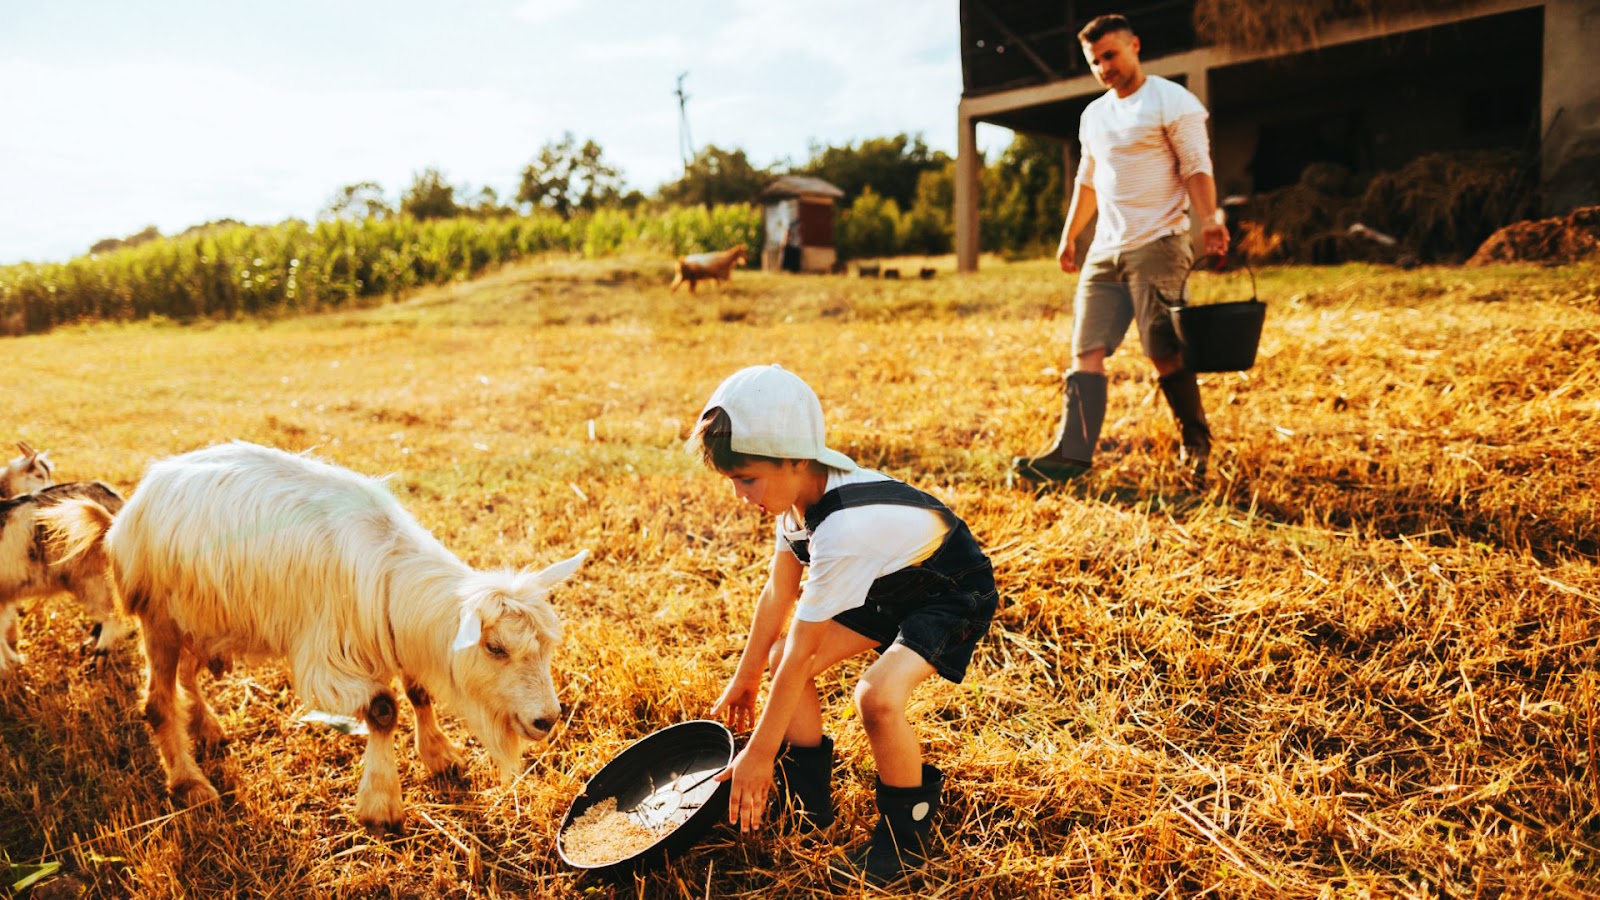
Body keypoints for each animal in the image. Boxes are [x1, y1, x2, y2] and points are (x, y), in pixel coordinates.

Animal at [45, 438, 595, 826]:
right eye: (496, 648)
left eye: (547, 648)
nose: (547, 720)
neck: (388, 567)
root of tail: (123, 519)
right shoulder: (326, 658)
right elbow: (383, 708)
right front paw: (381, 805)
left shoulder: (390, 637)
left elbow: (417, 691)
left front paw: (440, 757)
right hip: (158, 615)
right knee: (157, 702)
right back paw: (190, 783)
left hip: (203, 619)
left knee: (187, 675)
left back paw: (206, 728)